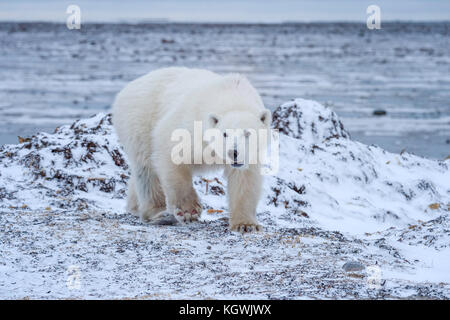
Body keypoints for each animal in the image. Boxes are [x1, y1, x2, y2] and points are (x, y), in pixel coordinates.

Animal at [112, 67, 270, 232]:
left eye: (248, 133)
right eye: (225, 133)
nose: (233, 152)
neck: (232, 96)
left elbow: (244, 180)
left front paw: (246, 225)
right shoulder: (188, 124)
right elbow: (170, 153)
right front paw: (189, 210)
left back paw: (134, 206)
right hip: (141, 119)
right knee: (146, 167)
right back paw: (159, 213)